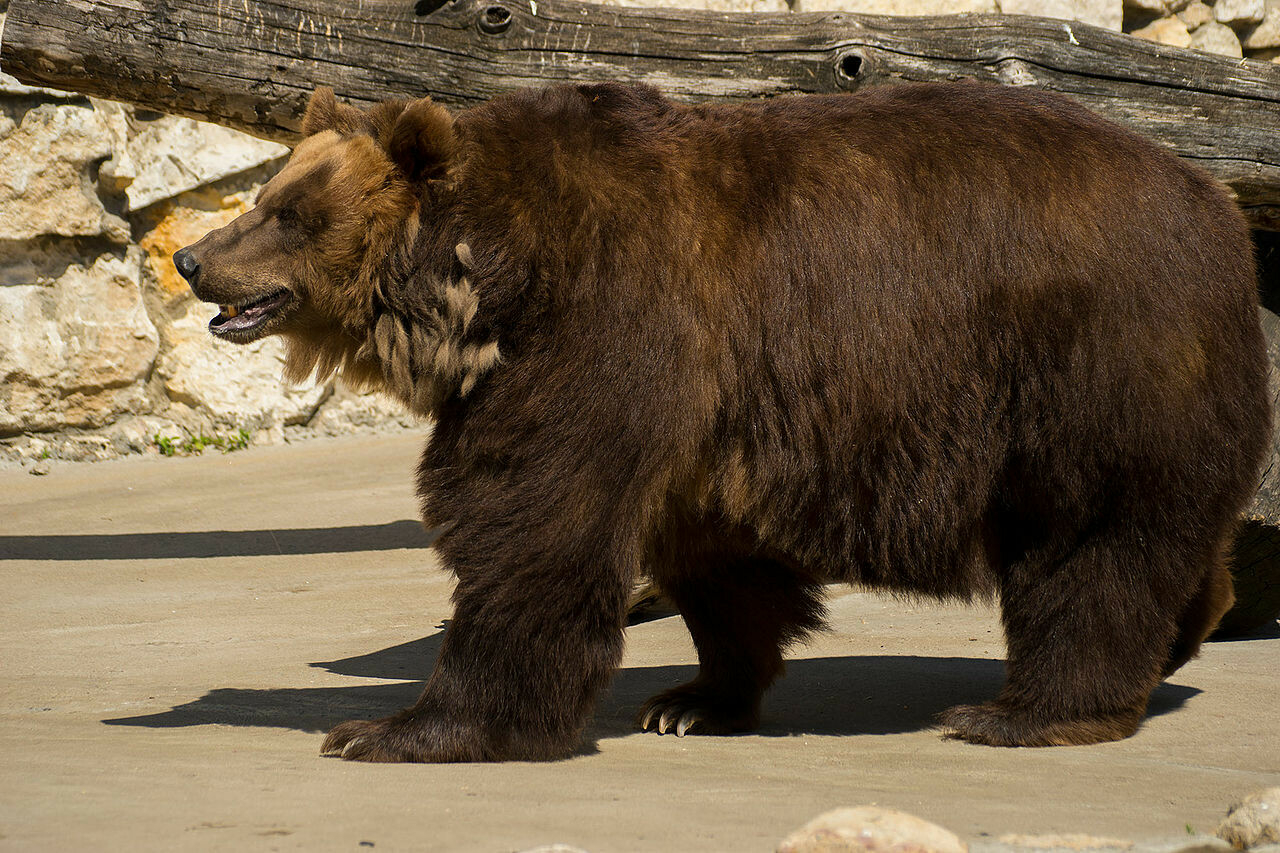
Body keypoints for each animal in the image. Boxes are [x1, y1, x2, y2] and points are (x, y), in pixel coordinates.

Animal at [170, 79, 1269, 758]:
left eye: (287, 212)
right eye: (265, 193)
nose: (191, 258)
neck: (494, 284)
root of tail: (1212, 200)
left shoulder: (609, 327)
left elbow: (531, 524)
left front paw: (396, 728)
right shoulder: (709, 403)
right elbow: (709, 555)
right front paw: (693, 701)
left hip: (1089, 368)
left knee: (1091, 544)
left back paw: (1022, 711)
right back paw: (1180, 635)